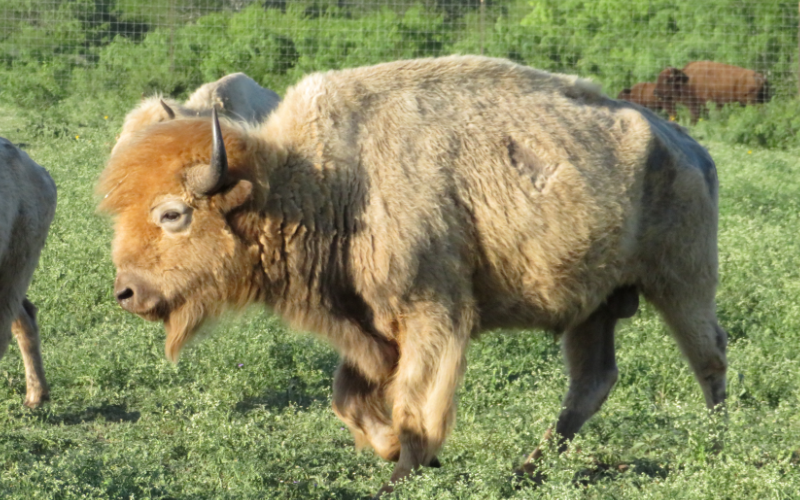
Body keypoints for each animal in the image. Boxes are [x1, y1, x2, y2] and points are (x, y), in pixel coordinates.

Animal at [97, 56, 728, 494]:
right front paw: (388, 450)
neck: (326, 181)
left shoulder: (431, 317)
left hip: (682, 284)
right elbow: (348, 398)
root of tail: (688, 147)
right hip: (595, 307)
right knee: (592, 383)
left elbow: (416, 410)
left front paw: (401, 473)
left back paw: (718, 446)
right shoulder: (367, 326)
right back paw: (527, 469)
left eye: (172, 214)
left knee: (709, 358)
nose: (126, 291)